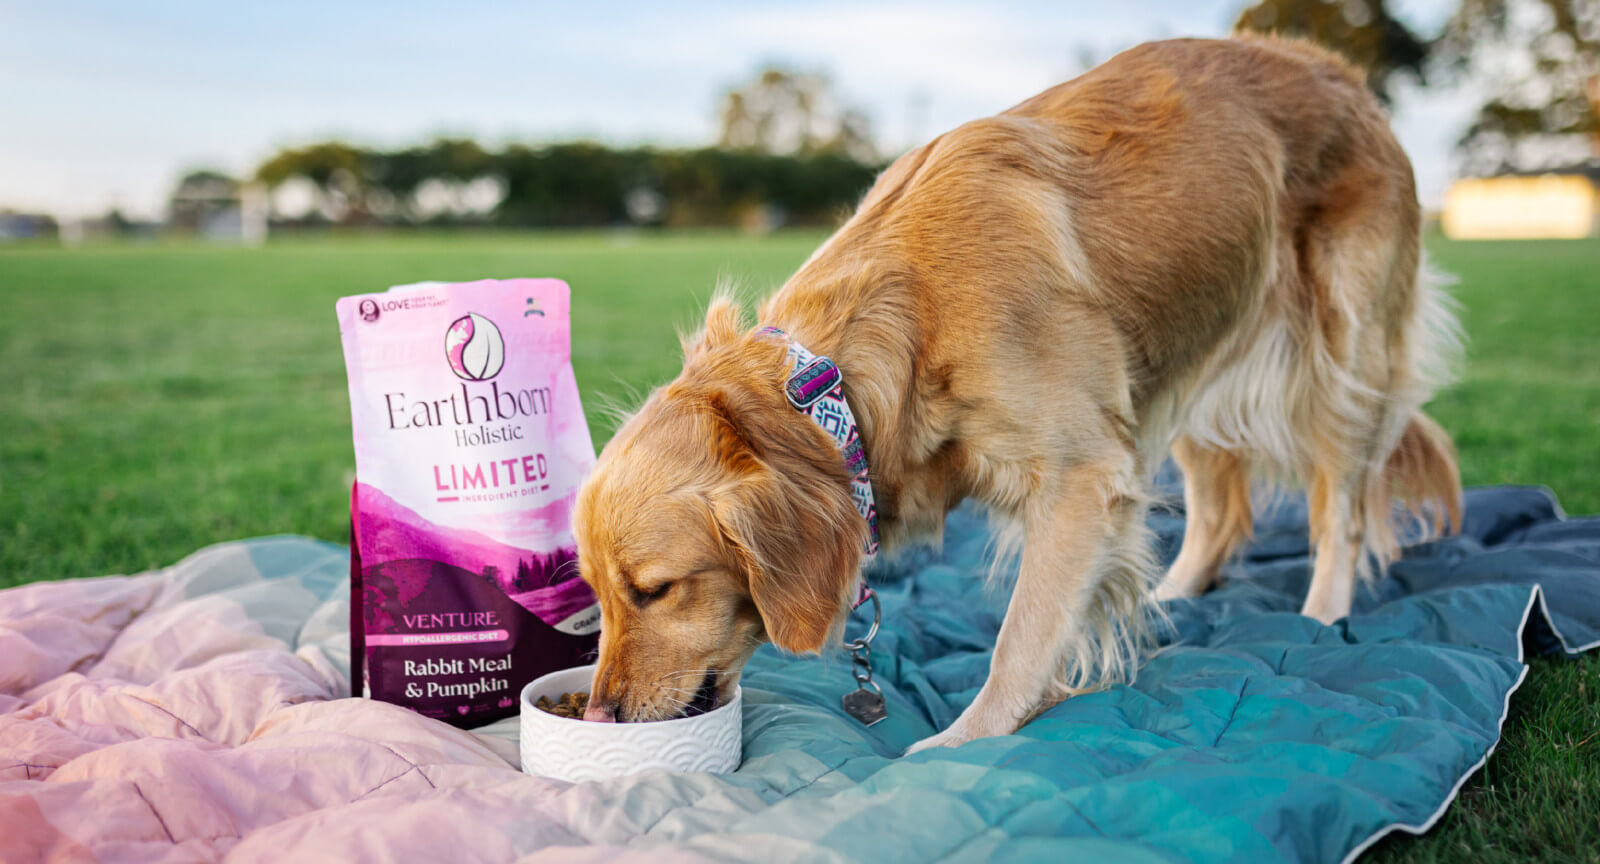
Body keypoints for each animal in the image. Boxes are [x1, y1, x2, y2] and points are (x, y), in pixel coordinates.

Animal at [576, 33, 1465, 748]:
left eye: (654, 590)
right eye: (594, 595)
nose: (598, 716)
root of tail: (1341, 71)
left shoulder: (1081, 478)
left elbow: (1023, 637)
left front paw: (964, 742)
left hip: (1341, 352)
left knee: (1339, 510)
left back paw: (1319, 619)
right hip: (1180, 361)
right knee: (1218, 513)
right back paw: (1174, 595)